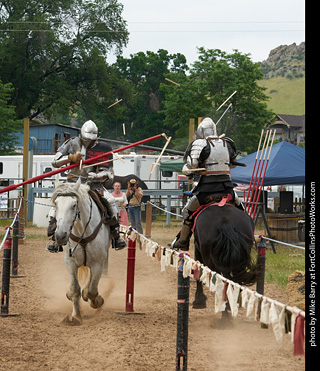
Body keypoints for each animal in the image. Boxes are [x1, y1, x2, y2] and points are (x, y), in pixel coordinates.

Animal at [52, 179, 110, 324]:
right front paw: (75, 316)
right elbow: (74, 289)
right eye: (56, 204)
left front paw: (97, 301)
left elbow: (92, 291)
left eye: (74, 205)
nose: (60, 236)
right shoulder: (70, 262)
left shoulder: (98, 263)